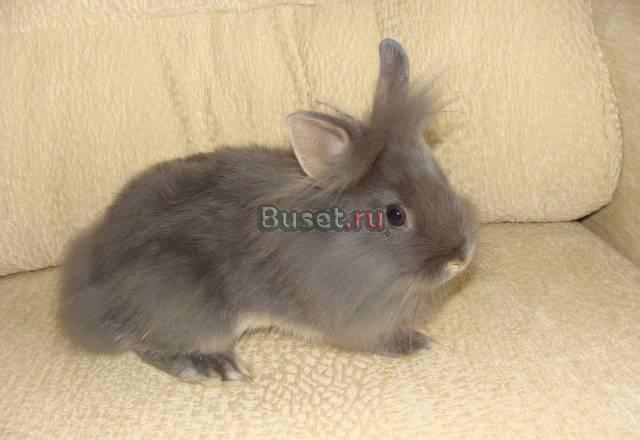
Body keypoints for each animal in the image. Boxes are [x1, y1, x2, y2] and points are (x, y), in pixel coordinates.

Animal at [60, 38, 477, 384]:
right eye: (395, 215)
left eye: (440, 175)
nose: (461, 257)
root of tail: (90, 289)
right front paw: (412, 342)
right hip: (190, 308)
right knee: (150, 344)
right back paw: (212, 366)